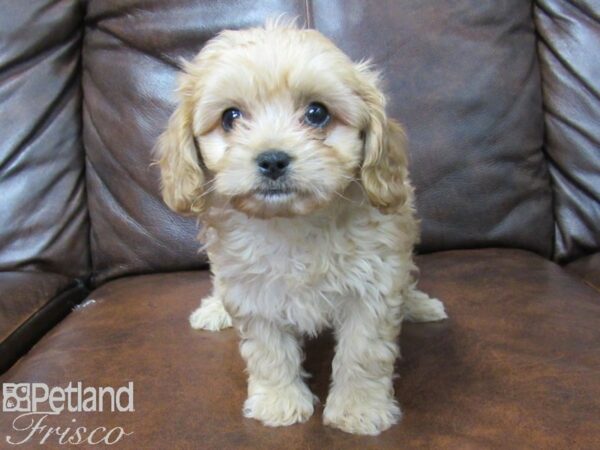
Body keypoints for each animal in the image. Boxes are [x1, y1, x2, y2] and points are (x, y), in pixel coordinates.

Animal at [157, 18, 448, 436]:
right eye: (230, 117)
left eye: (316, 113)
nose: (273, 160)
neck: (294, 223)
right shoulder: (252, 290)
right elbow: (269, 352)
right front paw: (279, 402)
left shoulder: (373, 285)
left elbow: (363, 353)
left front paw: (359, 408)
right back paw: (213, 310)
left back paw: (419, 304)